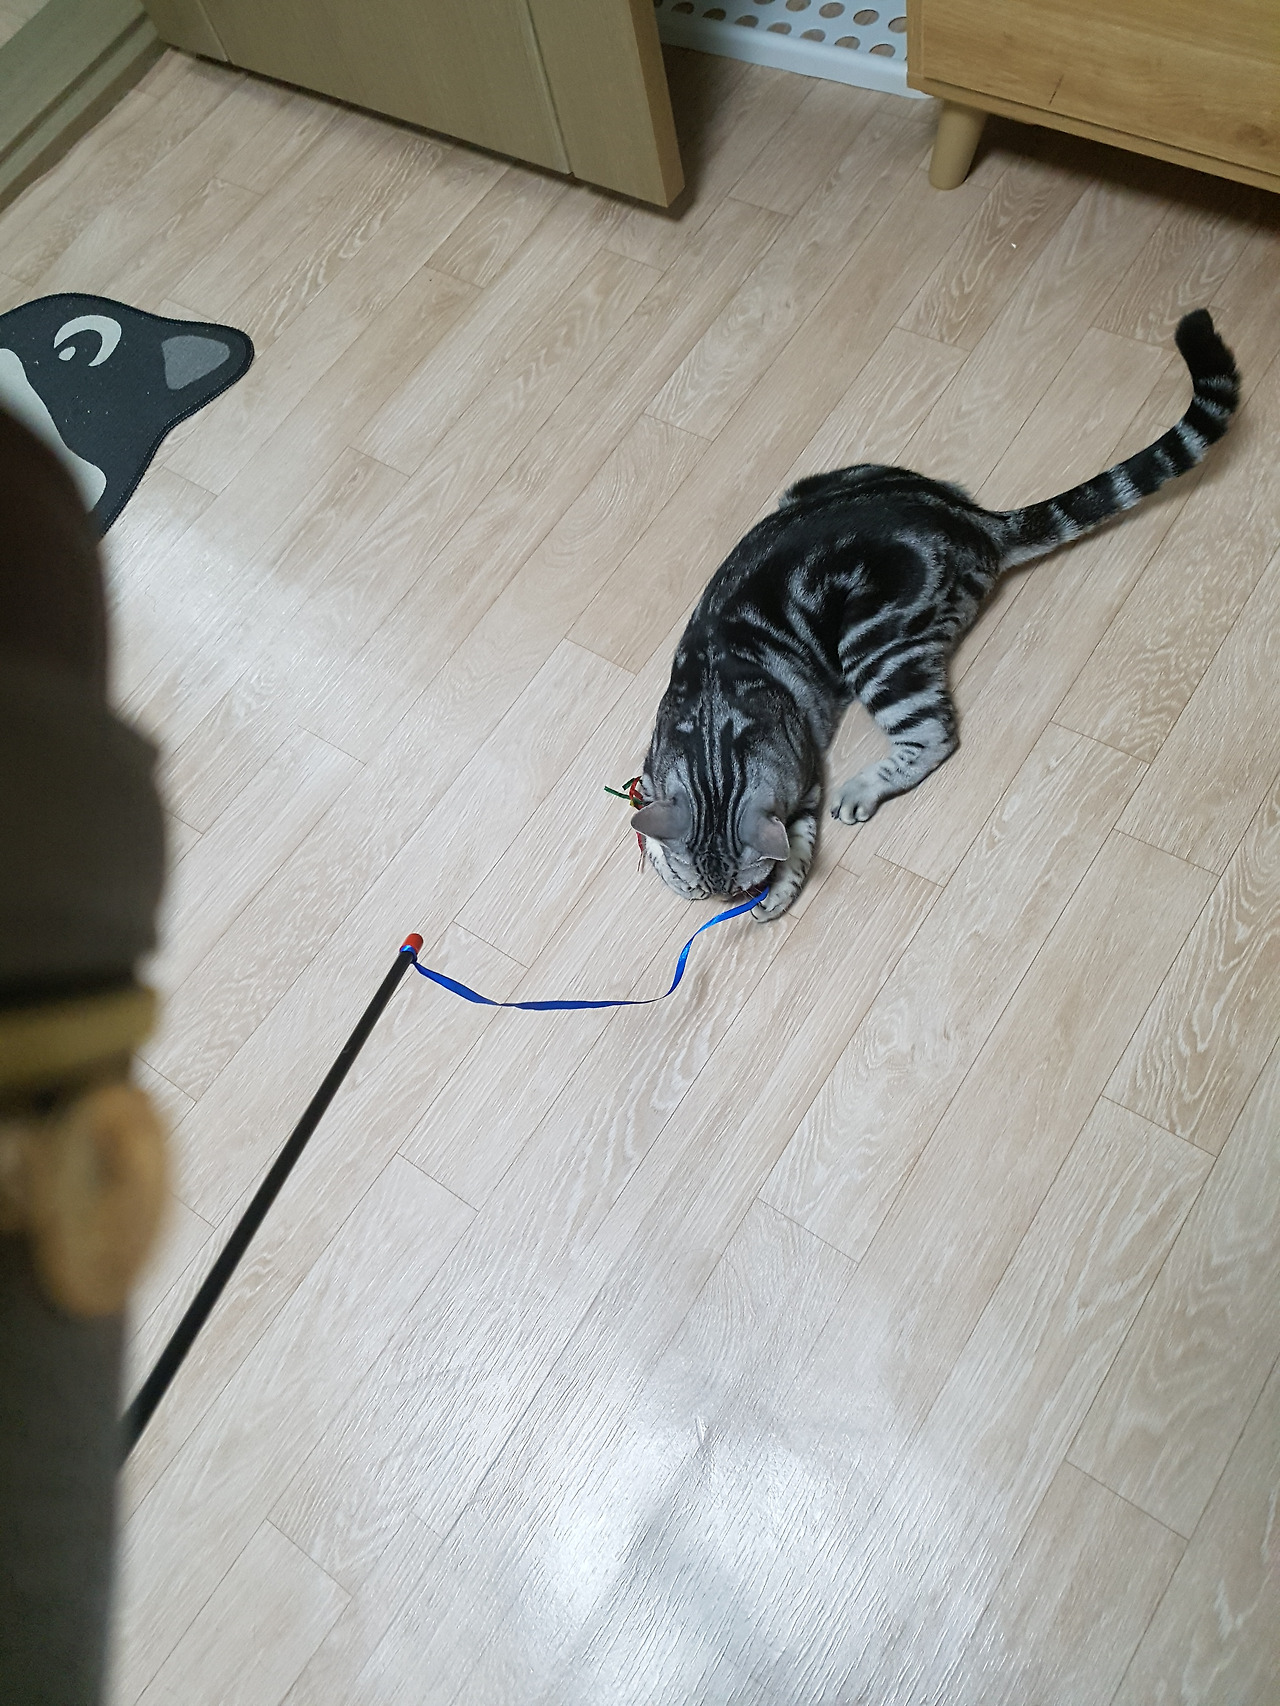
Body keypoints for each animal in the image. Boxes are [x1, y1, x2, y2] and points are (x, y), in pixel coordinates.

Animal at [632, 309, 1239, 922]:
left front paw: (777, 892)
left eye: (729, 890)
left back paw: (863, 790)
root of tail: (973, 519)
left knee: (934, 735)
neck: (713, 756)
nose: (713, 899)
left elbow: (799, 843)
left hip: (874, 646)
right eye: (694, 886)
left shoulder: (802, 776)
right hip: (827, 484)